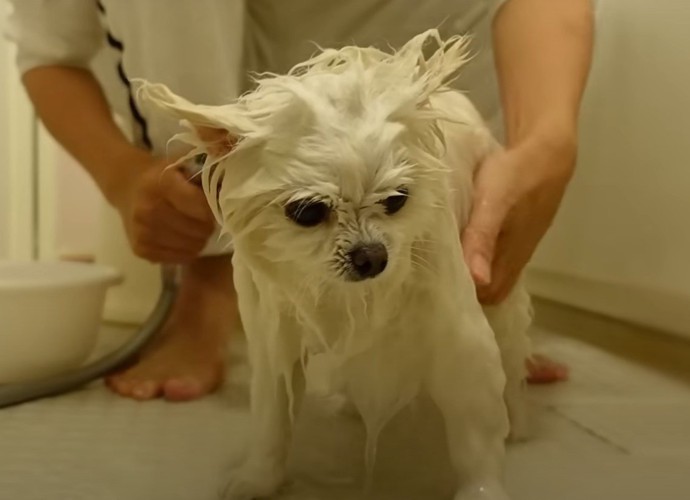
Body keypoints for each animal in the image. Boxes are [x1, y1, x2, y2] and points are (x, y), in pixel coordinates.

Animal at [137, 31, 528, 500]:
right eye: (307, 212)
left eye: (397, 200)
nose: (373, 256)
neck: (341, 297)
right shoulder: (273, 343)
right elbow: (271, 424)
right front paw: (258, 479)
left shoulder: (462, 345)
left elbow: (475, 438)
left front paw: (481, 489)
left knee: (511, 358)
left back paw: (517, 418)